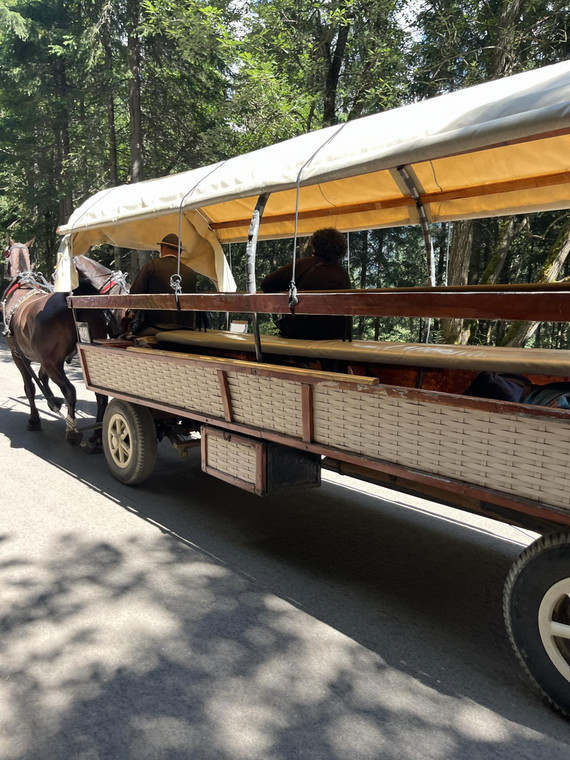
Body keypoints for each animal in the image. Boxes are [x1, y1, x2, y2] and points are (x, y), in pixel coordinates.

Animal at [1, 255, 128, 446]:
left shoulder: (19, 355)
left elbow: (30, 387)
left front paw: (34, 419)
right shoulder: (44, 358)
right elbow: (42, 377)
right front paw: (53, 402)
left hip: (52, 364)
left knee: (70, 390)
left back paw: (72, 430)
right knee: (100, 395)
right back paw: (96, 437)